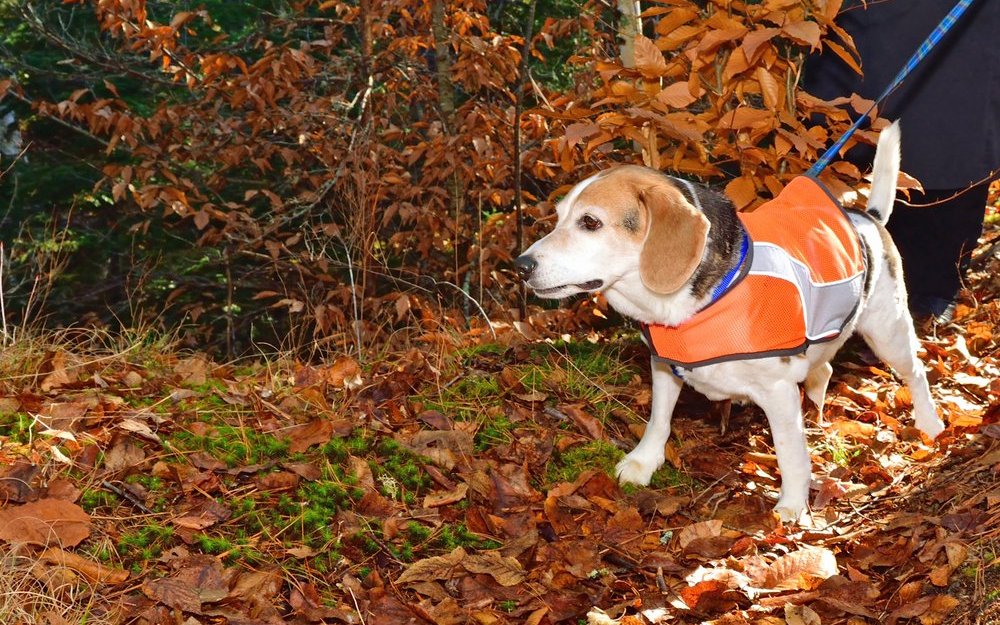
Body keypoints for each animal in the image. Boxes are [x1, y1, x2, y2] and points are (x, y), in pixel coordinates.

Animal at [516, 122, 944, 520]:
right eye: (559, 218)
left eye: (590, 222)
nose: (521, 265)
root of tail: (867, 217)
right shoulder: (664, 366)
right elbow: (658, 420)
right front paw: (643, 462)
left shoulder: (777, 391)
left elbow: (789, 453)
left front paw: (792, 505)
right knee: (823, 369)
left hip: (887, 331)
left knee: (916, 371)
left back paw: (931, 425)